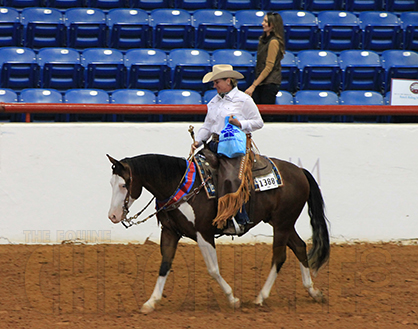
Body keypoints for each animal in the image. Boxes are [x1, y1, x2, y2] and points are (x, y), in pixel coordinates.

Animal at [106, 153, 328, 312]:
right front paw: (151, 302)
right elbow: (165, 265)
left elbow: (213, 269)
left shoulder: (203, 233)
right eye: (111, 184)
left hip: (282, 224)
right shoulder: (170, 233)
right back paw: (313, 292)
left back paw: (261, 297)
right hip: (283, 222)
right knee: (300, 247)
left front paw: (233, 298)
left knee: (279, 256)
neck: (180, 187)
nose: (113, 216)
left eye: (124, 184)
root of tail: (299, 171)